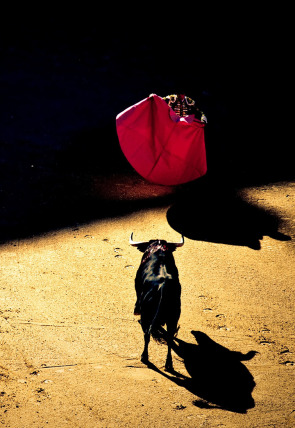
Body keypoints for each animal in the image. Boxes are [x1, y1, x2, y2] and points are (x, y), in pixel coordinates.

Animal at [131, 234, 184, 372]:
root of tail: (163, 285)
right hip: (173, 317)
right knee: (170, 338)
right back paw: (168, 363)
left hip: (147, 316)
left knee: (147, 334)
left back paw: (144, 357)